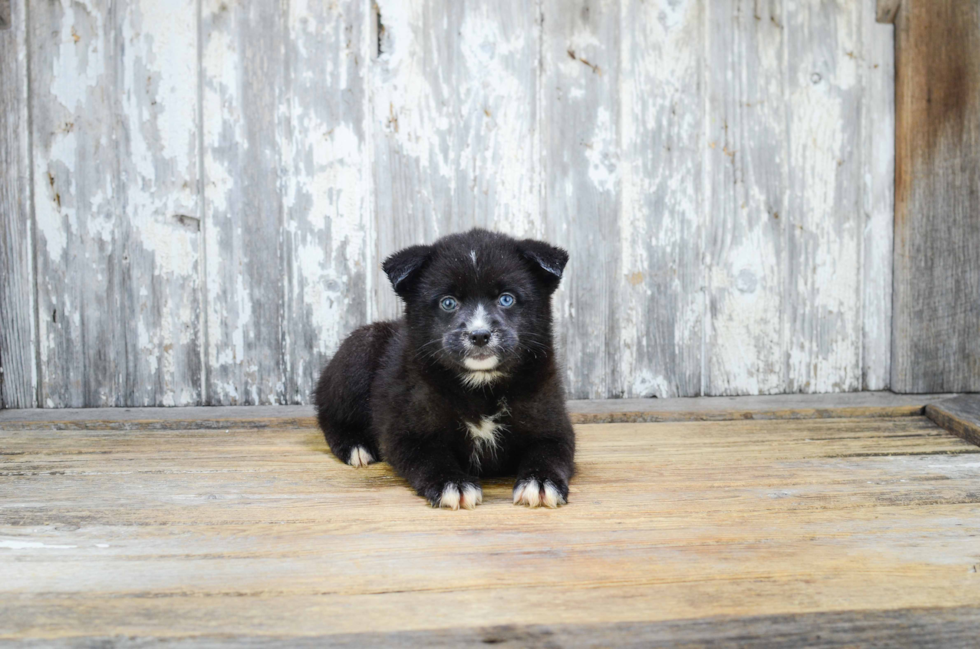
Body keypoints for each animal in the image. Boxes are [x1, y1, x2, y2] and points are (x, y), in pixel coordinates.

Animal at [314, 230, 576, 508]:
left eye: (506, 299)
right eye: (448, 303)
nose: (479, 335)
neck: (480, 386)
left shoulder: (553, 427)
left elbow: (549, 453)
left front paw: (541, 482)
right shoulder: (408, 432)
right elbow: (431, 459)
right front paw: (453, 484)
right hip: (359, 349)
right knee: (329, 413)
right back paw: (355, 446)